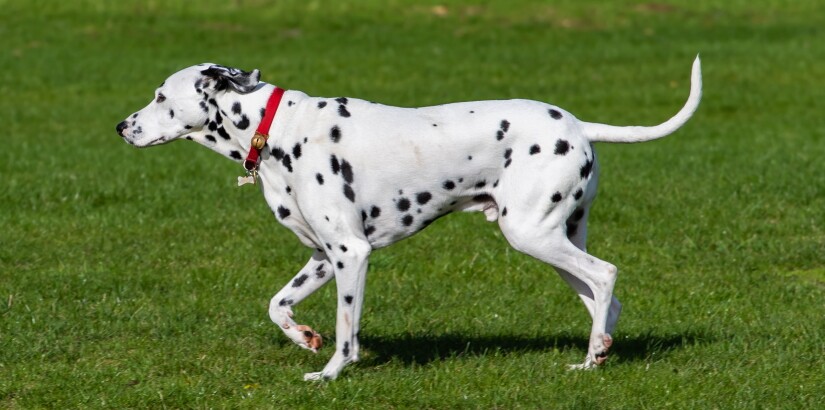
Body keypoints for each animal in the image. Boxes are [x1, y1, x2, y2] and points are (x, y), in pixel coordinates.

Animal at [116, 56, 700, 380]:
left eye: (161, 96)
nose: (122, 127)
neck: (277, 127)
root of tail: (579, 125)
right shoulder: (322, 257)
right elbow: (277, 306)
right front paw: (304, 337)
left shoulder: (351, 256)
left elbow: (347, 331)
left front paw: (330, 373)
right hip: (555, 242)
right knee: (604, 298)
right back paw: (593, 358)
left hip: (533, 236)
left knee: (606, 275)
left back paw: (594, 353)